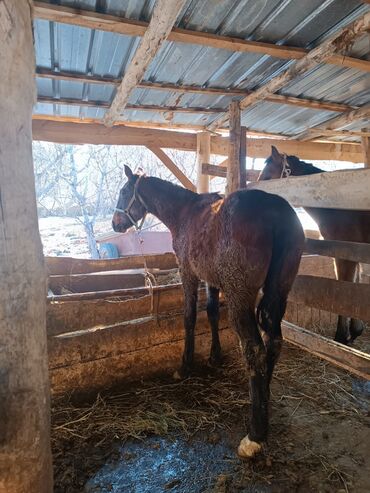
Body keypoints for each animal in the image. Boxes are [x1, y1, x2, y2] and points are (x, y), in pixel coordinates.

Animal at [112, 166, 304, 458]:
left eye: (124, 191)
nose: (115, 223)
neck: (185, 212)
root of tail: (276, 213)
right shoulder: (211, 279)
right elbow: (212, 313)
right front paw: (215, 356)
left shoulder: (188, 273)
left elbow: (190, 317)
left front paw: (185, 366)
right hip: (278, 293)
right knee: (273, 343)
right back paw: (263, 399)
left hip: (240, 297)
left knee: (255, 351)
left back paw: (255, 435)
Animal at [258, 146, 368, 346]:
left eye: (268, 178)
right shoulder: (354, 252)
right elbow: (354, 284)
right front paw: (354, 331)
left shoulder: (344, 252)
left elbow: (345, 288)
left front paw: (341, 337)